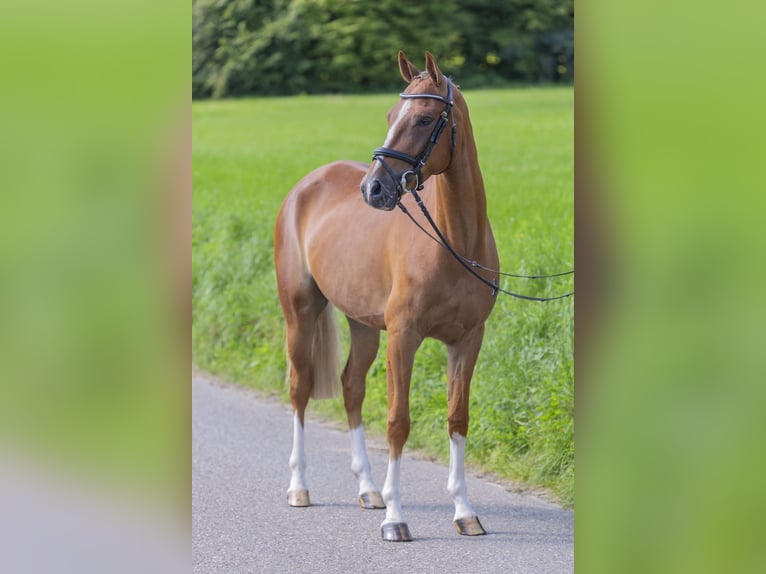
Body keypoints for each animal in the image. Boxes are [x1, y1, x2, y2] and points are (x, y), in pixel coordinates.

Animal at [273, 51, 499, 542]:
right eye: (391, 116)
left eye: (425, 118)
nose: (373, 189)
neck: (454, 242)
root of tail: (306, 184)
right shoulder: (403, 336)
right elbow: (398, 421)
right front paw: (397, 519)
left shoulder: (468, 340)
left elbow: (458, 418)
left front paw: (464, 511)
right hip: (300, 312)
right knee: (300, 388)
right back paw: (299, 488)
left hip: (362, 325)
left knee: (350, 387)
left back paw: (369, 489)